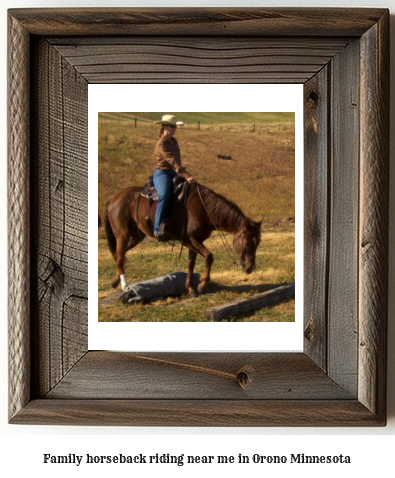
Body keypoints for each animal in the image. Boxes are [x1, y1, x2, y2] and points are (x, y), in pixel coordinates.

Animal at [104, 182, 262, 296]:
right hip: (122, 235)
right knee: (120, 257)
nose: (250, 268)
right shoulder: (189, 240)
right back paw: (125, 285)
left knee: (119, 254)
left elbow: (191, 263)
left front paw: (191, 288)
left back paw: (115, 281)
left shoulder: (196, 241)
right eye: (248, 242)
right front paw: (203, 285)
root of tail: (113, 199)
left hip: (136, 236)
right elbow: (209, 256)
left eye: (258, 243)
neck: (203, 208)